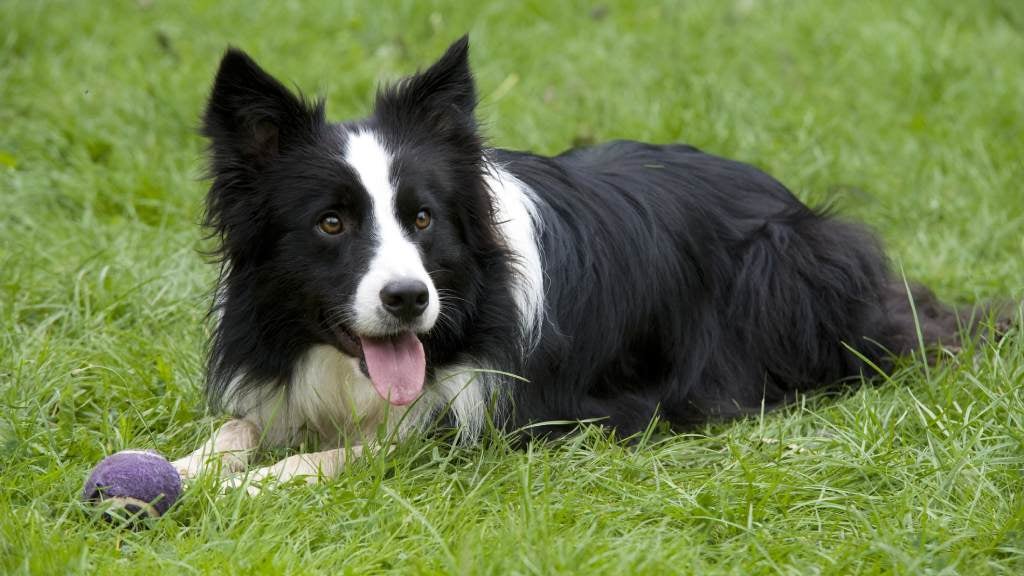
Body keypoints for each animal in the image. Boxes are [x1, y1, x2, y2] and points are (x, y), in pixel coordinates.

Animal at [178, 34, 991, 483]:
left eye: (422, 217)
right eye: (331, 223)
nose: (408, 299)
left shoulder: (496, 415)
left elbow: (376, 446)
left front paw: (259, 485)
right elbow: (236, 430)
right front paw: (189, 470)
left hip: (786, 273)